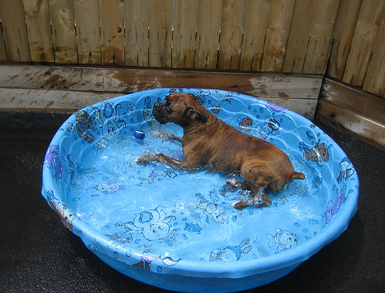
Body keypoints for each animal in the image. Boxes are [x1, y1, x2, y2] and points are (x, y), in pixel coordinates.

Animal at [136, 92, 304, 209]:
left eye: (169, 108)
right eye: (166, 98)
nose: (156, 104)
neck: (198, 123)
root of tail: (291, 172)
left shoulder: (189, 165)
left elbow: (161, 156)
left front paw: (145, 158)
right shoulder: (184, 144)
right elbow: (173, 136)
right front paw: (159, 133)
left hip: (249, 165)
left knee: (264, 199)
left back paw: (240, 203)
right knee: (255, 190)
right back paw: (234, 183)